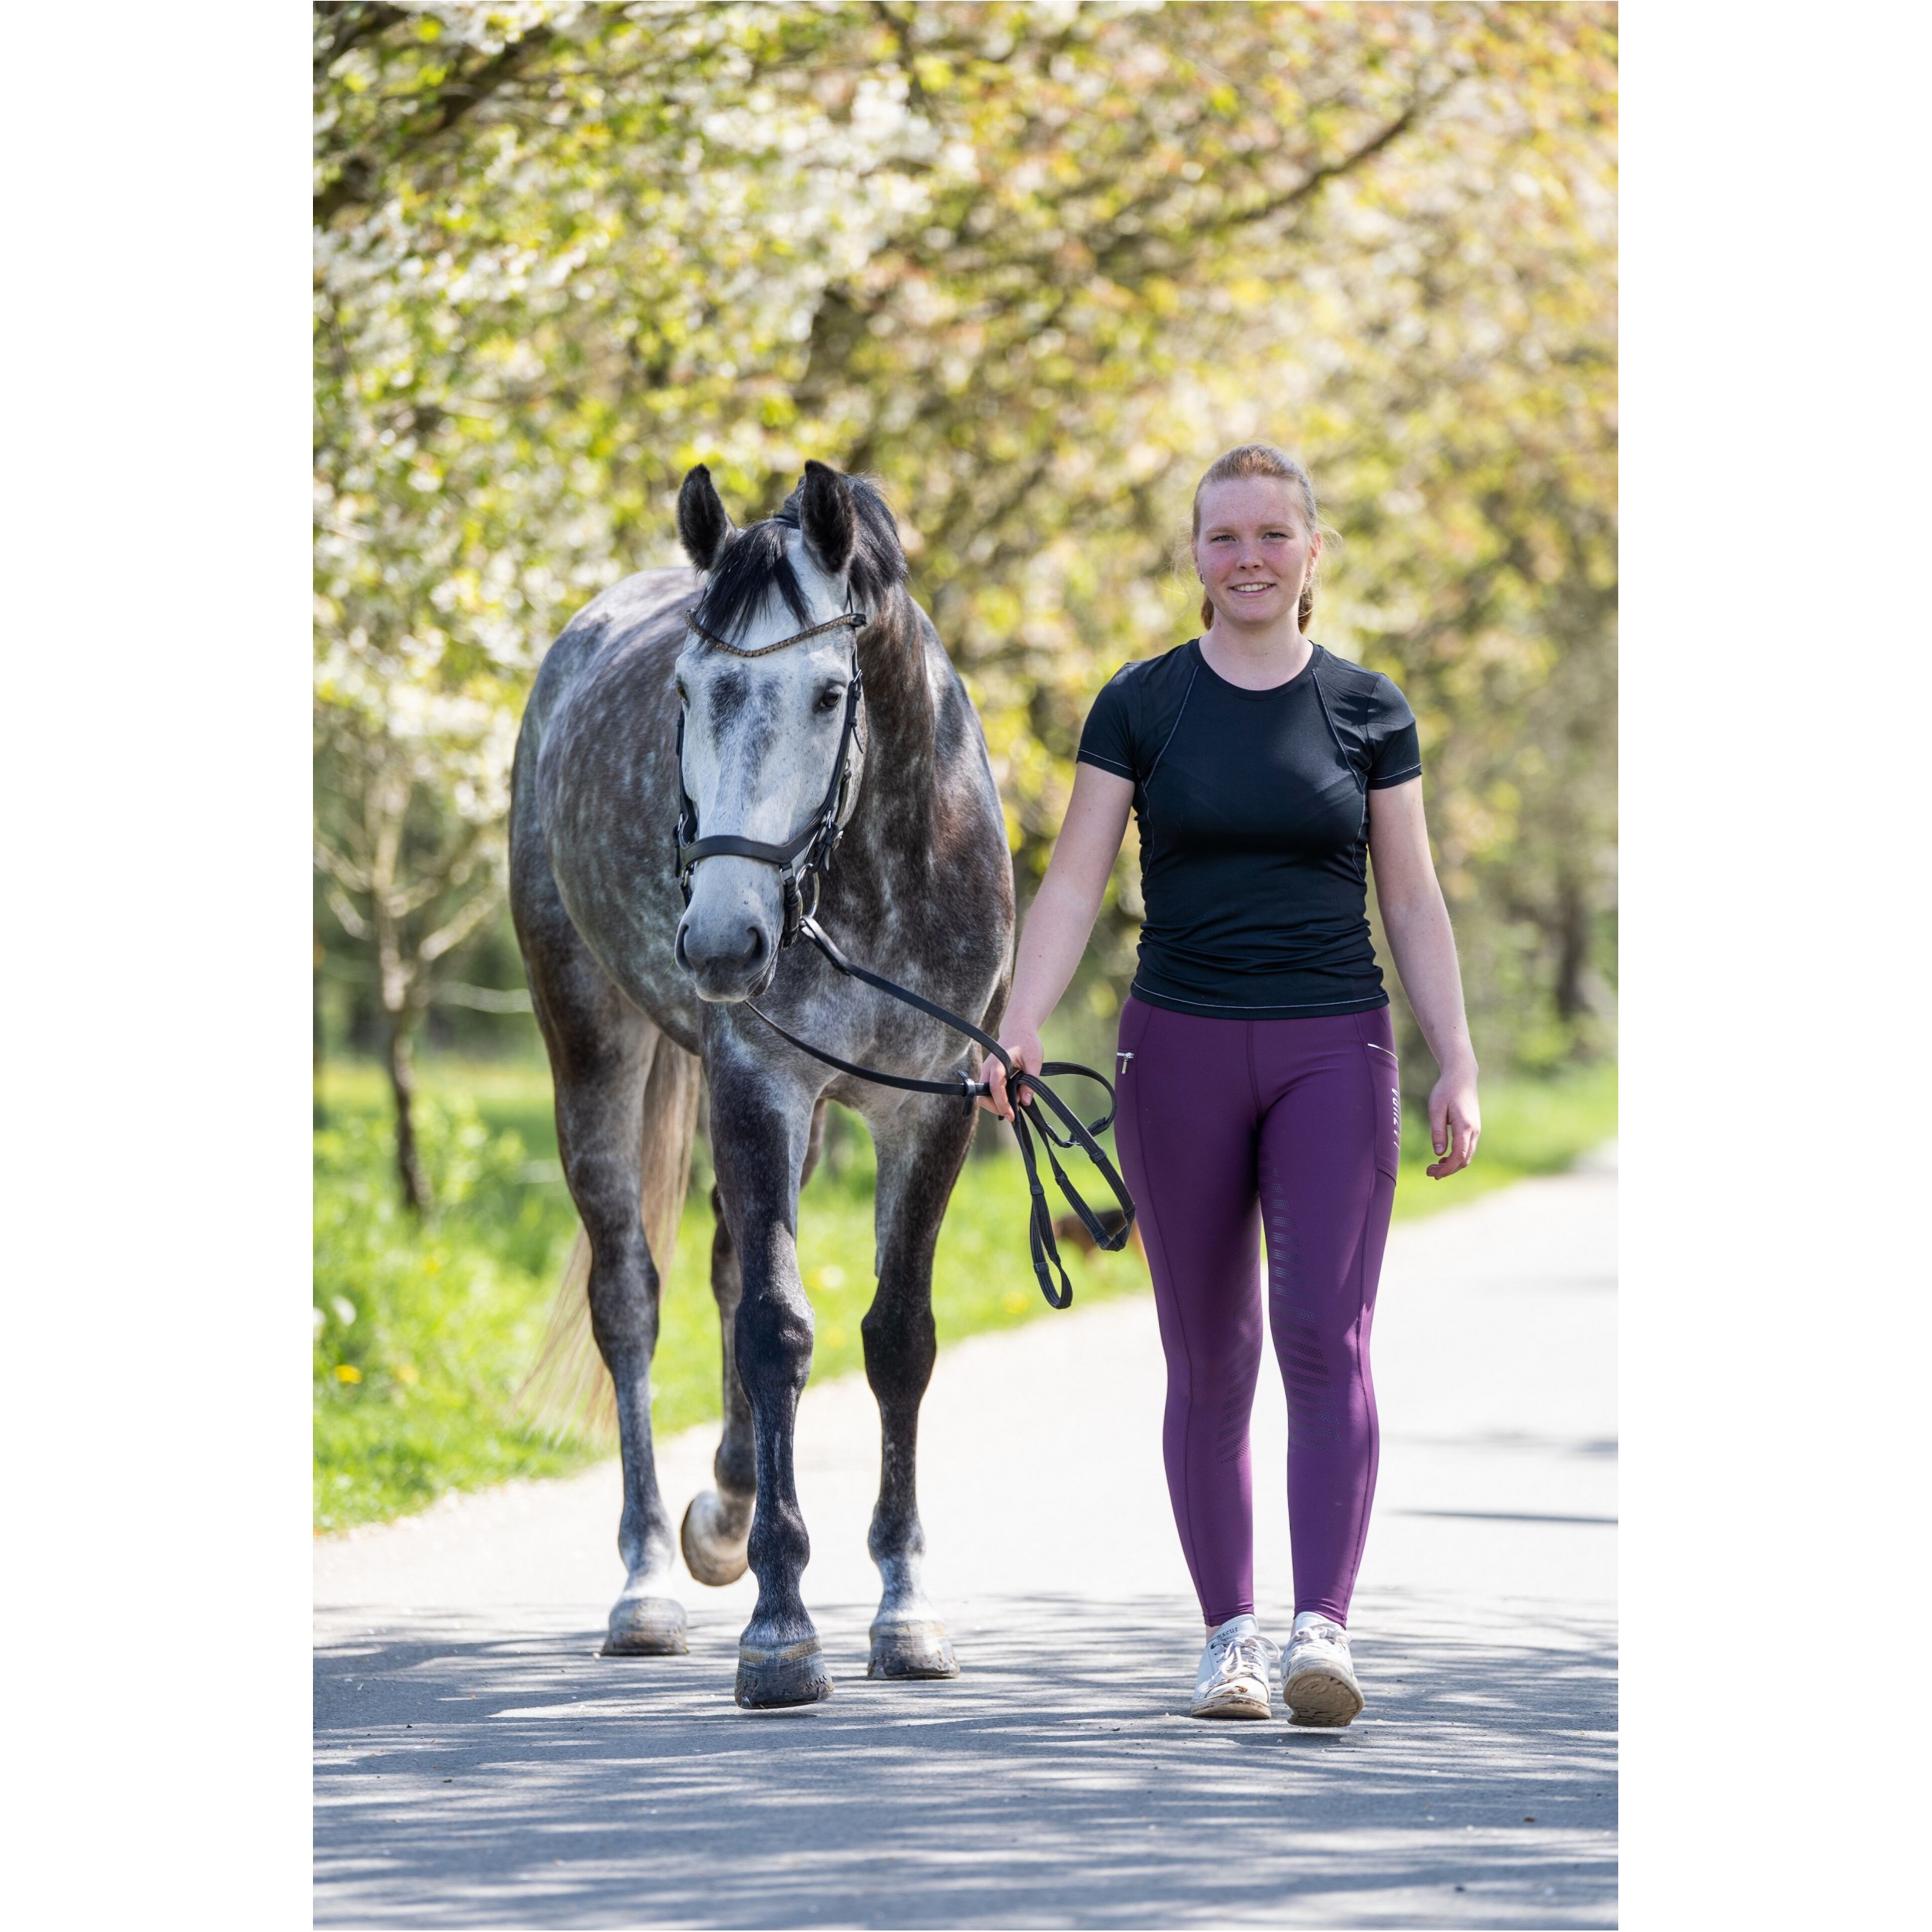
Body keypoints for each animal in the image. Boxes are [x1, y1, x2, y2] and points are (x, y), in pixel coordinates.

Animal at [506, 464, 1020, 1708]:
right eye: (687, 692)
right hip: (591, 1044)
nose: (724, 941)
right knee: (630, 1300)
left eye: (831, 693)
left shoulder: (928, 1109)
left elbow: (897, 1336)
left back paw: (724, 1516)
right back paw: (647, 1579)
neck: (875, 869)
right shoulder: (759, 1086)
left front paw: (904, 1607)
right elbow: (778, 1331)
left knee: (727, 1266)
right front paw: (782, 1625)